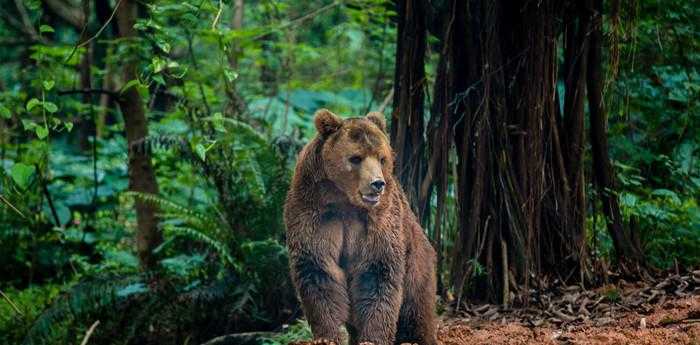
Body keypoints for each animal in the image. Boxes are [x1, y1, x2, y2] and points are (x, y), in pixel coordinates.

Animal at [284, 109, 438, 344]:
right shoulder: (314, 212)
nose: (377, 183)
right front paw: (328, 336)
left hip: (418, 262)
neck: (344, 199)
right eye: (356, 158)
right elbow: (318, 270)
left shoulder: (379, 220)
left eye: (382, 158)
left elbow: (377, 272)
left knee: (416, 307)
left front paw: (372, 337)